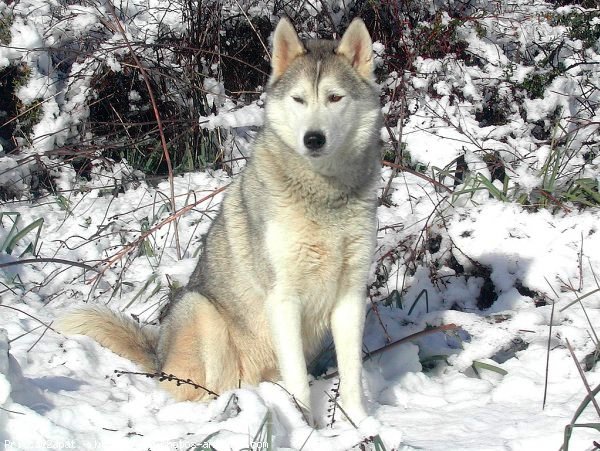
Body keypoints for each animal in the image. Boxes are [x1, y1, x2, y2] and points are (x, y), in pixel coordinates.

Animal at [58, 16, 382, 424]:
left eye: (335, 98)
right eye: (299, 99)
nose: (313, 139)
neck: (325, 196)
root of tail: (158, 354)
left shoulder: (350, 295)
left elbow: (352, 373)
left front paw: (360, 423)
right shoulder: (283, 299)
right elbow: (298, 381)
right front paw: (304, 426)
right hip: (202, 310)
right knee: (203, 389)